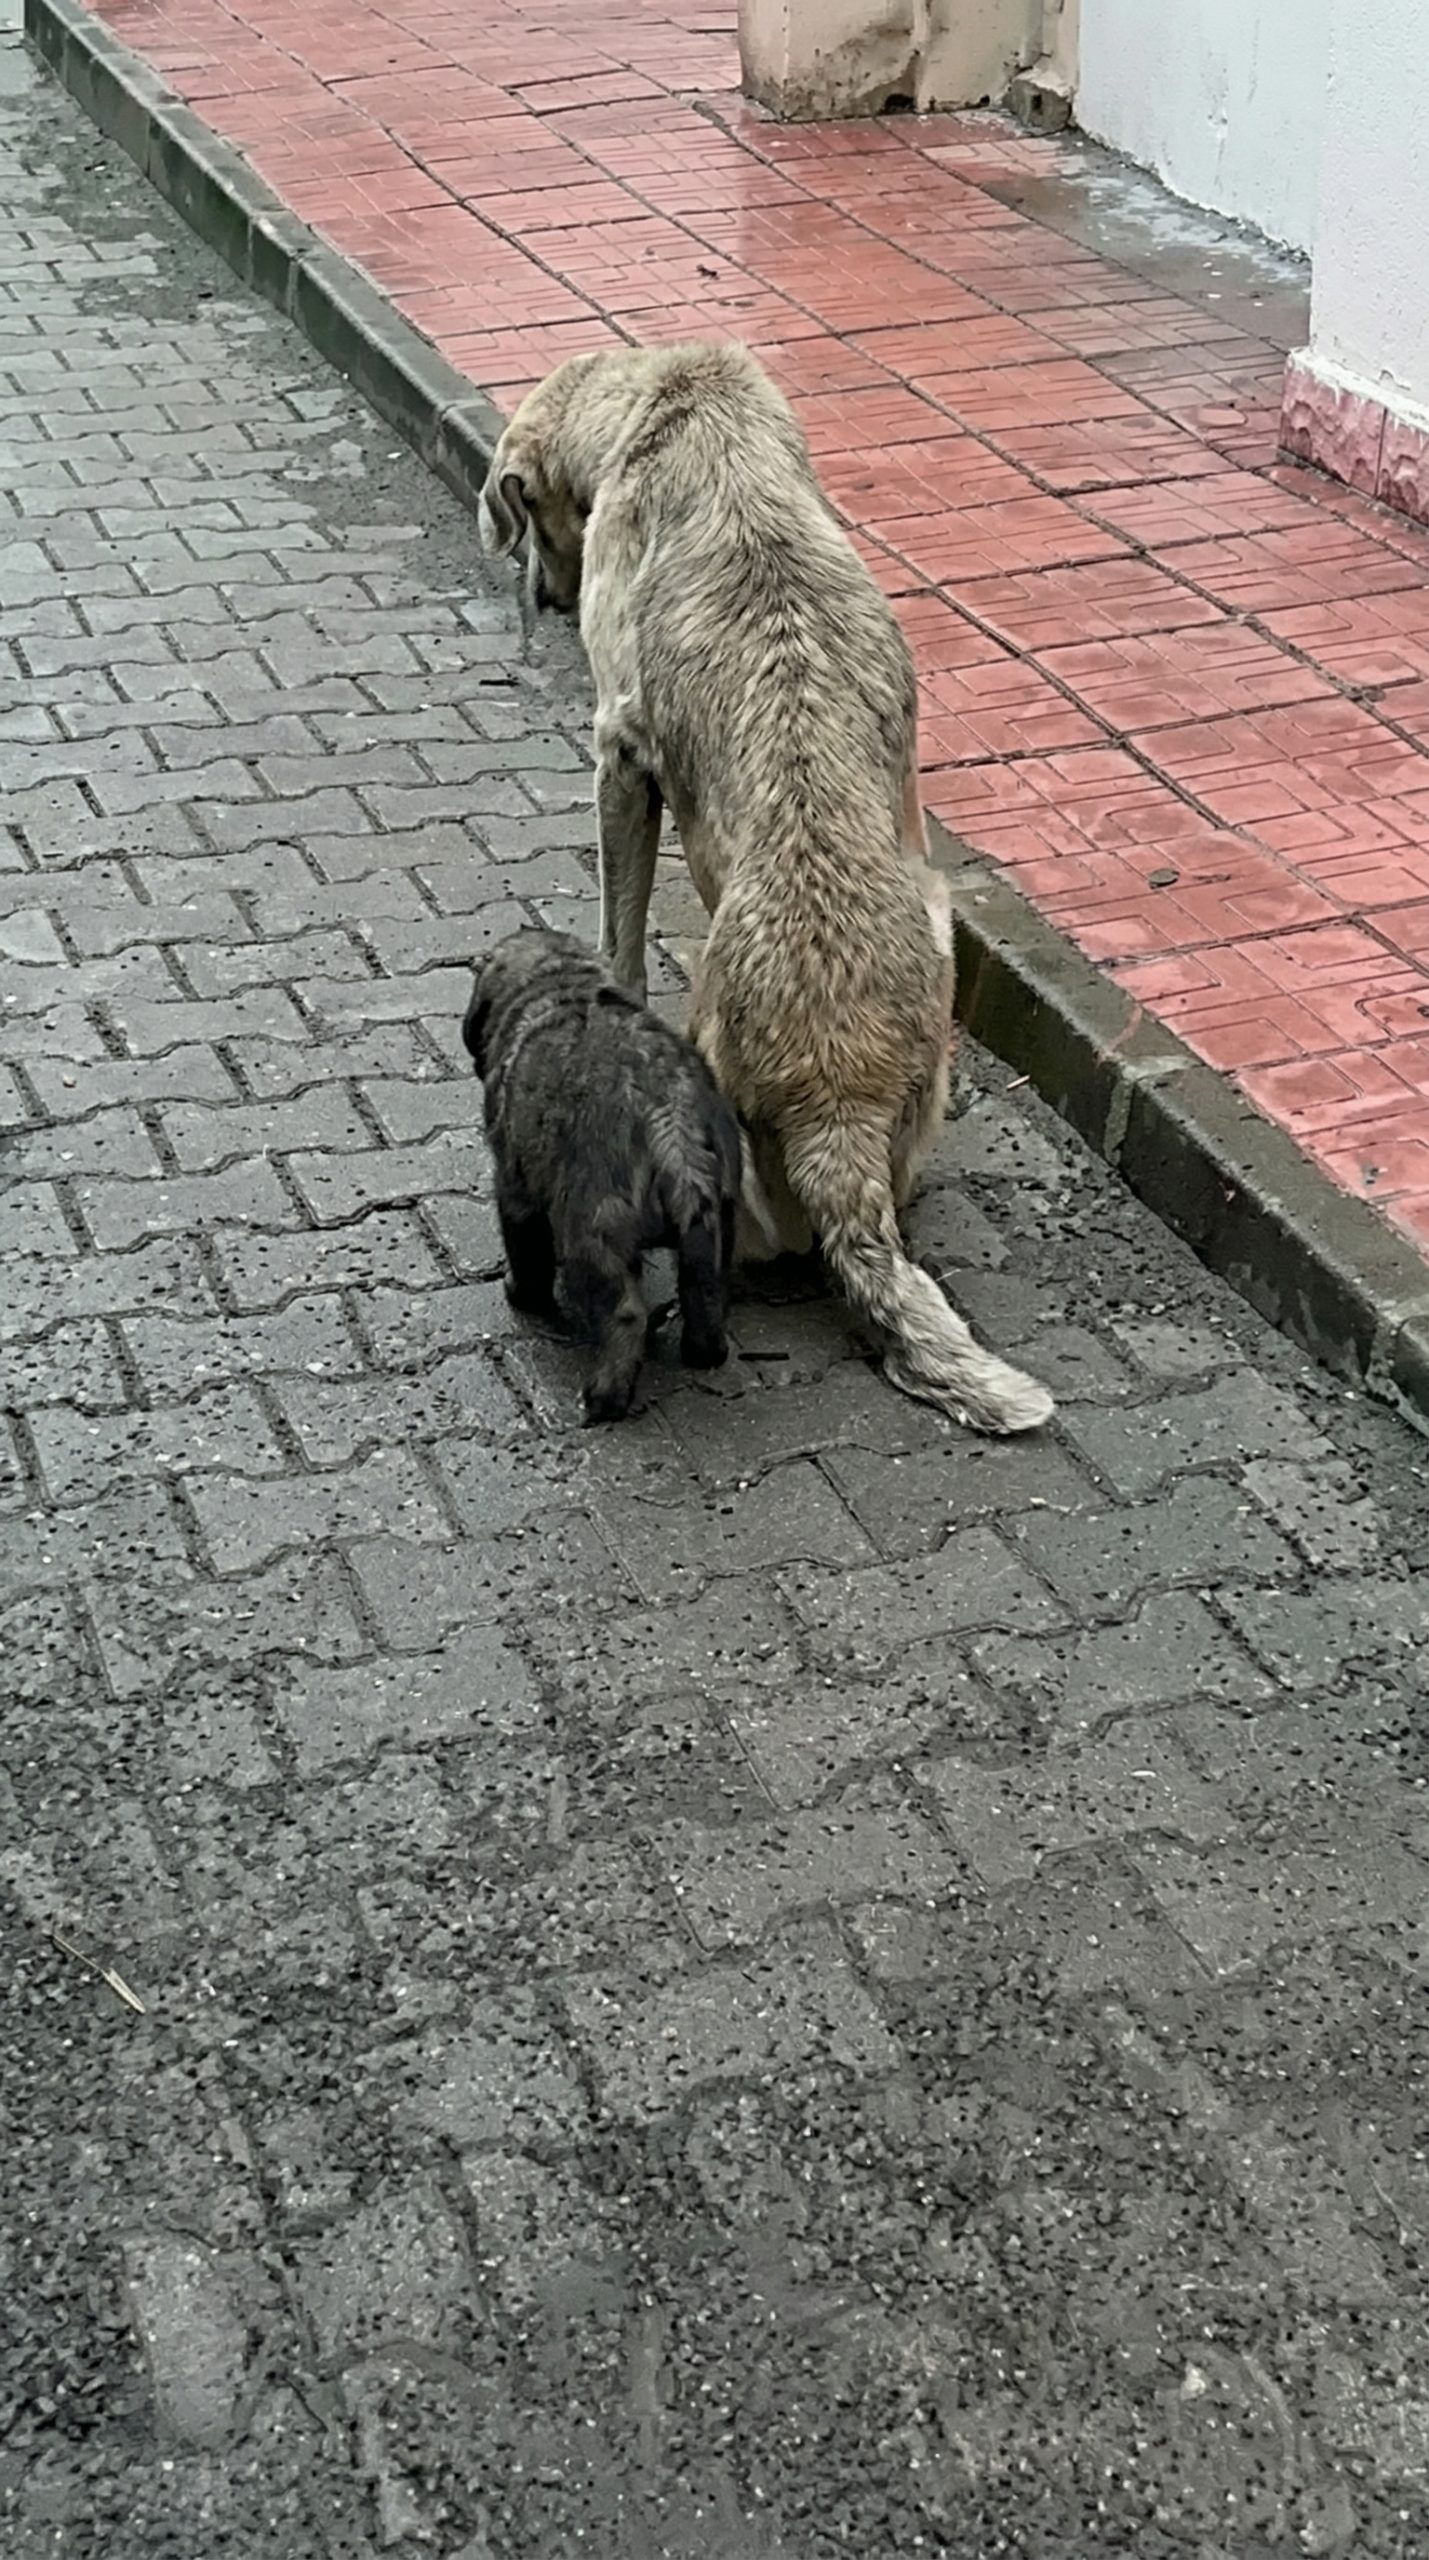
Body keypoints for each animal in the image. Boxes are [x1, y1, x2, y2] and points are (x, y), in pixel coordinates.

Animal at [462, 925, 741, 1424]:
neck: (563, 983)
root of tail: (669, 1120)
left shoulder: (514, 1190)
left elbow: (526, 1252)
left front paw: (521, 1294)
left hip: (592, 1231)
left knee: (625, 1314)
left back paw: (604, 1396)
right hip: (716, 1221)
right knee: (705, 1289)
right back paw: (704, 1353)